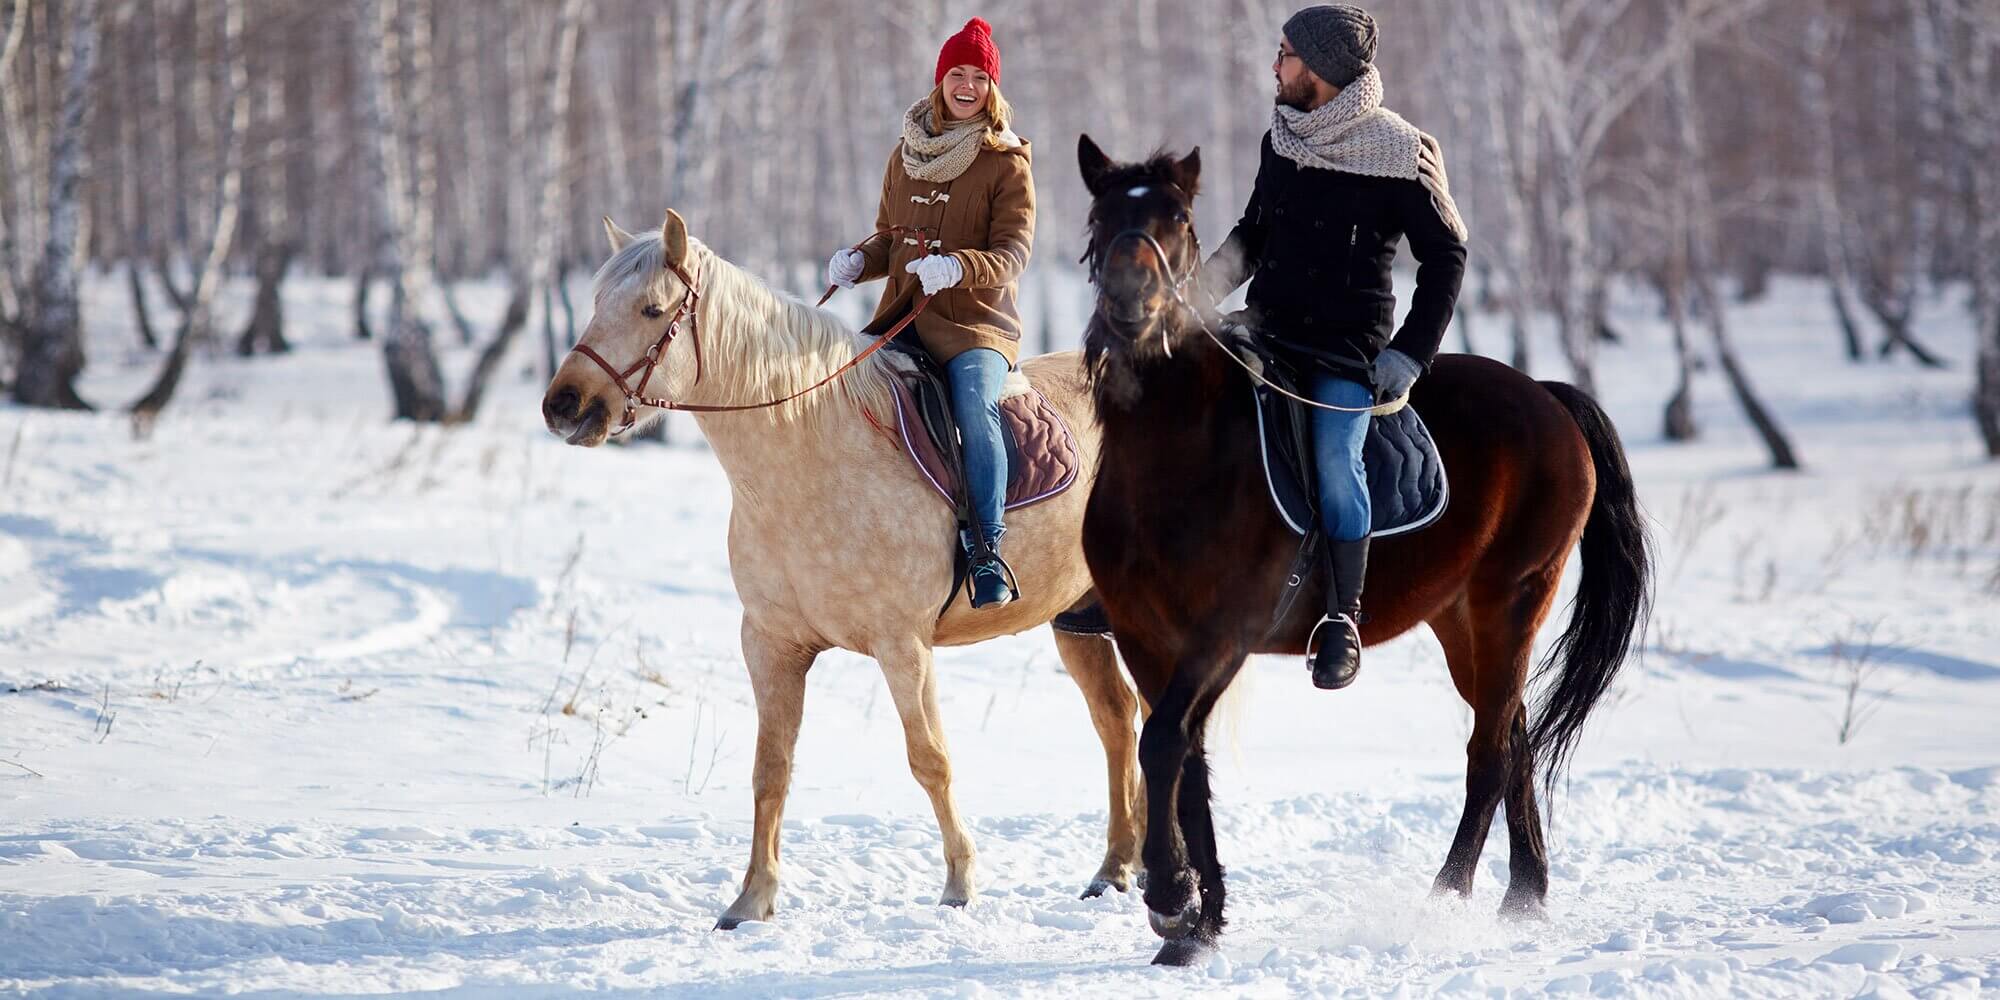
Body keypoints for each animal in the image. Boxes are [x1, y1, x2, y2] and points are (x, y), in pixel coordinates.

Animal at [540, 211, 1152, 928]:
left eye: (652, 309)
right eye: (595, 303)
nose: (564, 405)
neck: (813, 453)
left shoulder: (903, 646)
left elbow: (929, 760)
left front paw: (959, 885)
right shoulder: (771, 645)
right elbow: (771, 768)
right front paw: (751, 899)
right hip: (1077, 621)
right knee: (1120, 721)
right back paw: (1118, 869)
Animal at [1080, 137, 1656, 964]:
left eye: (1178, 219)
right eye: (1100, 218)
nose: (1131, 306)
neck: (1173, 452)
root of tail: (1549, 396)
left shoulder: (1222, 634)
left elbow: (1163, 745)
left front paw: (1171, 900)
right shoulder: (1143, 637)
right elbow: (1184, 759)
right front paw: (1198, 922)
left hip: (1513, 597)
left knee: (1490, 753)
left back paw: (1445, 898)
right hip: (1460, 619)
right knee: (1512, 732)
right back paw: (1524, 897)